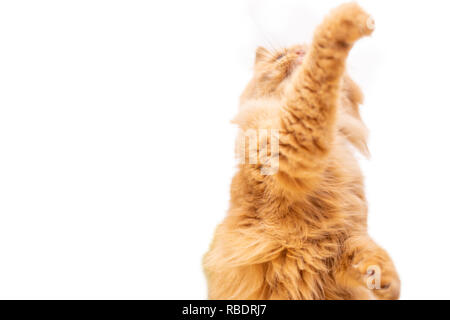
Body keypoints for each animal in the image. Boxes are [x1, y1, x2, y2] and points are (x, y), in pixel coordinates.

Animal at [202, 3, 400, 300]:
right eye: (281, 56)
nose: (298, 52)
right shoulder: (290, 146)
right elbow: (315, 77)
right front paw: (346, 18)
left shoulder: (345, 236)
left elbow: (367, 253)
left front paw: (384, 281)